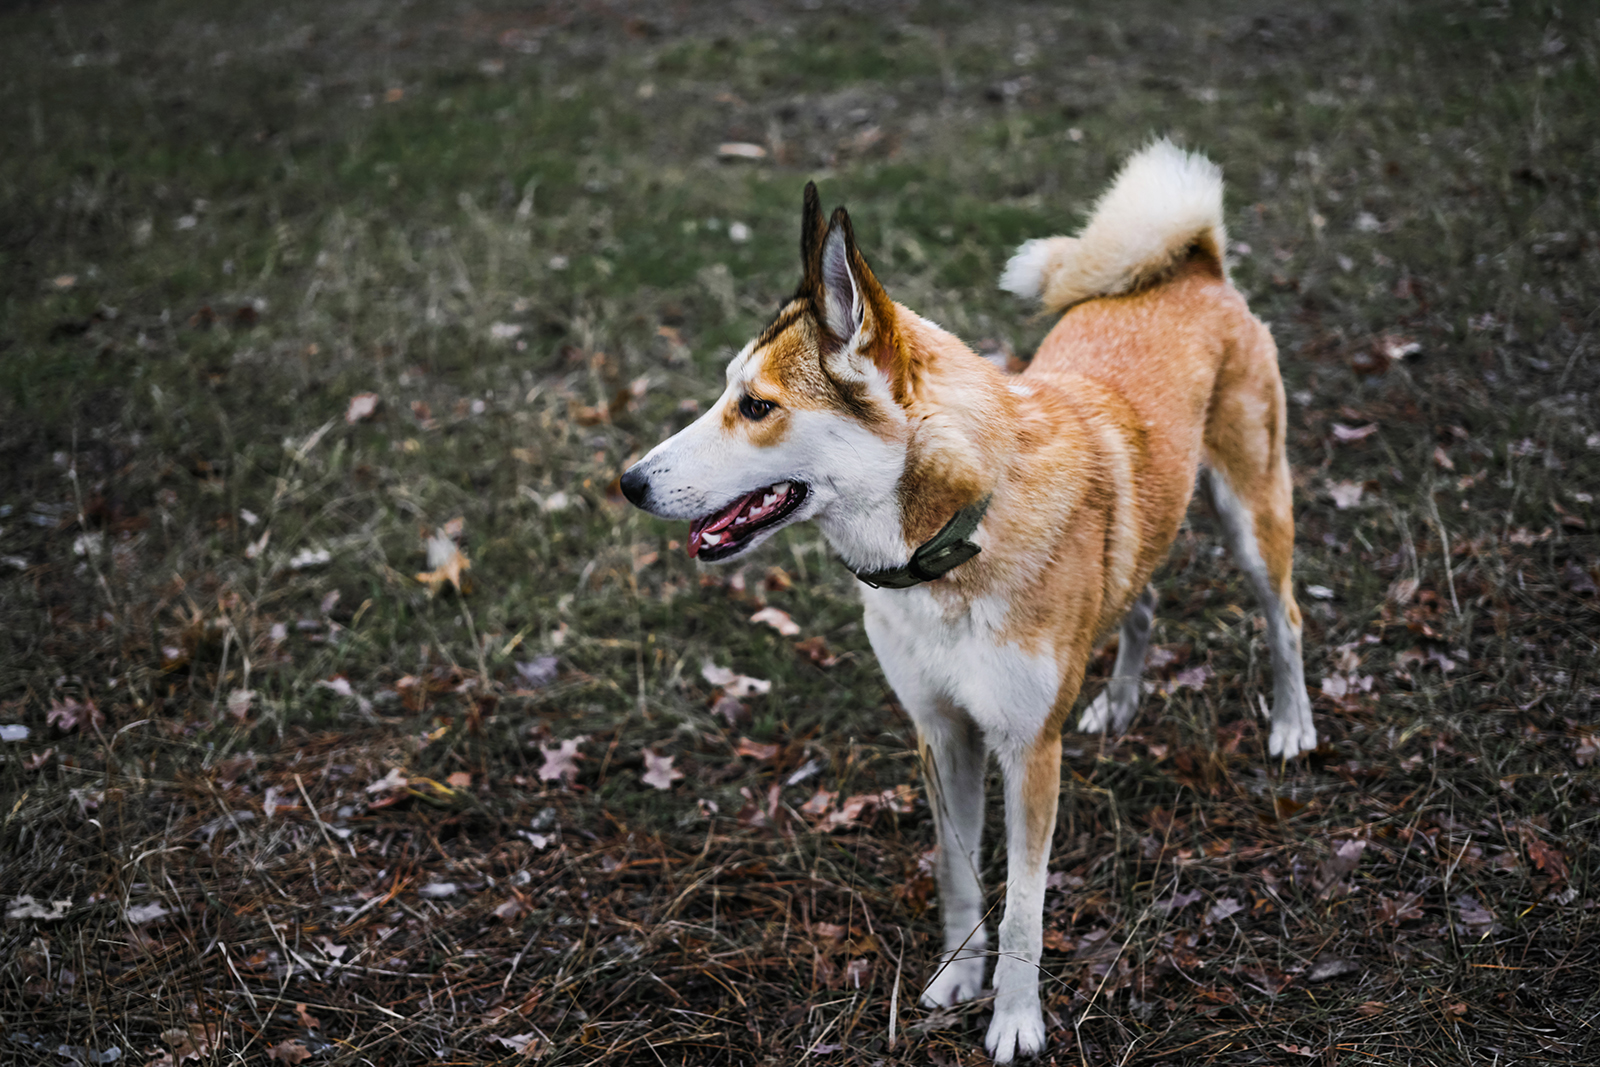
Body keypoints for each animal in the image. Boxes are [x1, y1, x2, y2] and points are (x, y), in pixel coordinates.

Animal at [620, 139, 1312, 1062]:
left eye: (757, 405)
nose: (629, 482)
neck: (948, 546)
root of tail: (1194, 265)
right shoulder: (941, 731)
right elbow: (957, 871)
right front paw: (956, 975)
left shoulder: (1028, 749)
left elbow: (1024, 906)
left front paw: (1016, 1019)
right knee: (1141, 598)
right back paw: (1120, 700)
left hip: (1251, 514)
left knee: (1286, 618)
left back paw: (1292, 723)